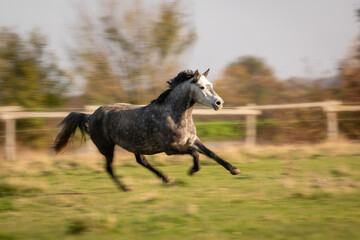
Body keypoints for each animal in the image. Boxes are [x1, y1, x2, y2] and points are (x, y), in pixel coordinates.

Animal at [53, 69, 240, 191]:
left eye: (211, 85)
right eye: (201, 87)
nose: (219, 103)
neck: (174, 114)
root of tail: (91, 115)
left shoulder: (193, 140)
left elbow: (212, 153)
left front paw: (234, 169)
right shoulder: (171, 148)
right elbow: (195, 154)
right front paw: (192, 171)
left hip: (136, 146)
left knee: (142, 162)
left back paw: (167, 179)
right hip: (107, 148)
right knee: (109, 168)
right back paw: (125, 188)